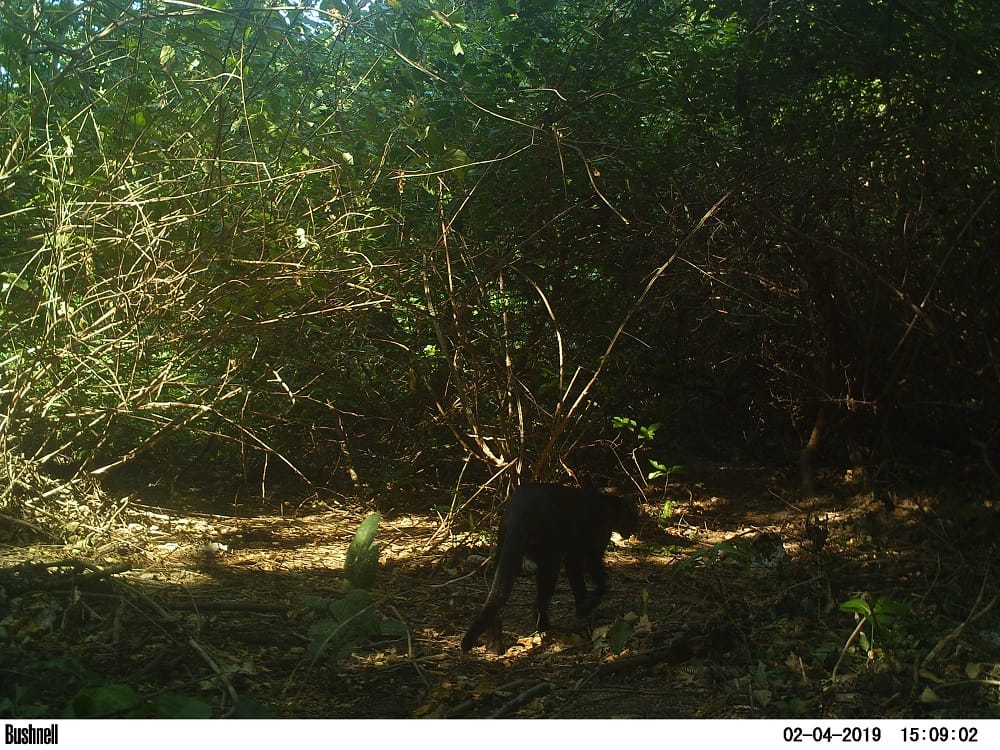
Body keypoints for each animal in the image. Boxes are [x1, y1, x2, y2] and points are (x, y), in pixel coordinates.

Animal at [462, 484, 640, 656]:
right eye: (634, 515)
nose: (636, 528)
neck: (608, 509)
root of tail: (518, 512)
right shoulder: (585, 552)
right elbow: (597, 584)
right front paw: (584, 609)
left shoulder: (580, 556)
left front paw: (583, 611)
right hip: (550, 557)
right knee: (541, 596)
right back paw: (544, 626)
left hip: (505, 550)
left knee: (497, 594)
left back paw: (494, 646)